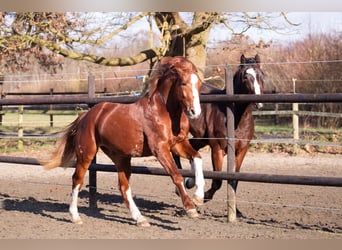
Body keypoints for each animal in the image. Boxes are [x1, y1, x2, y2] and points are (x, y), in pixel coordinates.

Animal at [41, 56, 204, 227]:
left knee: (123, 187)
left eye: (199, 83)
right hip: (87, 153)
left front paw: (198, 195)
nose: (195, 112)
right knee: (77, 180)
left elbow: (197, 157)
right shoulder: (160, 149)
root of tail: (86, 116)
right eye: (183, 83)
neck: (162, 111)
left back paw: (140, 219)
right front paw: (191, 208)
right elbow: (176, 175)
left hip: (121, 157)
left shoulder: (178, 144)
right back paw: (75, 216)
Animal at [174, 54, 264, 211]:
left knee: (191, 148)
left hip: (201, 138)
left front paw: (236, 210)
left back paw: (190, 181)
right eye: (245, 77)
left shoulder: (241, 151)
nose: (258, 102)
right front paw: (203, 197)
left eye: (261, 75)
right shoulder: (217, 149)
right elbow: (218, 180)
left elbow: (234, 180)